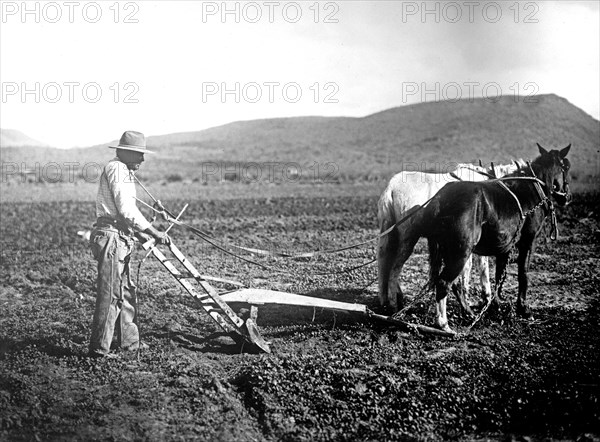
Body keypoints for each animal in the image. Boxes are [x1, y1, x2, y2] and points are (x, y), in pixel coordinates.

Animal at [378, 161, 524, 316]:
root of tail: (391, 188)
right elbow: (477, 267)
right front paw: (481, 298)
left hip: (388, 234)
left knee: (383, 261)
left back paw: (386, 300)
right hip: (408, 237)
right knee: (394, 268)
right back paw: (395, 305)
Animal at [394, 143, 572, 334]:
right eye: (566, 167)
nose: (568, 197)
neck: (532, 189)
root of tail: (441, 198)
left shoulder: (506, 246)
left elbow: (500, 275)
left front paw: (497, 304)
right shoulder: (528, 242)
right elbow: (523, 275)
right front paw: (523, 308)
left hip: (449, 251)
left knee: (453, 284)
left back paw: (468, 313)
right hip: (461, 253)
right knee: (444, 283)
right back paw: (443, 324)